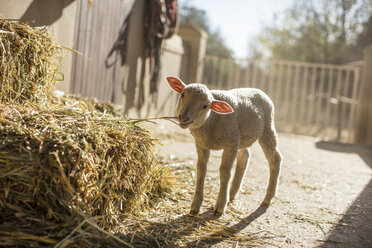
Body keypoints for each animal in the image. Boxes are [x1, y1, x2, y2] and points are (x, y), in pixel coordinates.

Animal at [166, 76, 282, 216]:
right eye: (183, 94)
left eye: (205, 106)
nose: (183, 118)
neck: (212, 119)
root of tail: (259, 90)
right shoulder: (201, 144)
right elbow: (201, 170)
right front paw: (195, 206)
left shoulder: (229, 143)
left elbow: (225, 172)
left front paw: (220, 206)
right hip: (240, 138)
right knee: (245, 156)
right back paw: (232, 194)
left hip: (266, 129)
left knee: (274, 159)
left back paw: (267, 198)